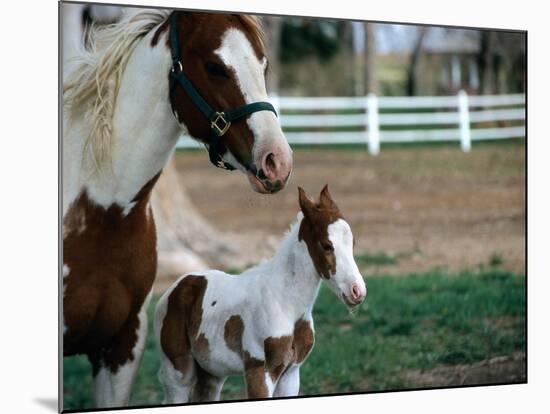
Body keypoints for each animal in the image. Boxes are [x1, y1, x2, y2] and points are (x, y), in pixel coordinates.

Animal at [155, 186, 368, 402]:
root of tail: (176, 288)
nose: (357, 291)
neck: (286, 303)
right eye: (326, 245)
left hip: (212, 372)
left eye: (353, 243)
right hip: (178, 372)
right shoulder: (259, 370)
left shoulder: (291, 373)